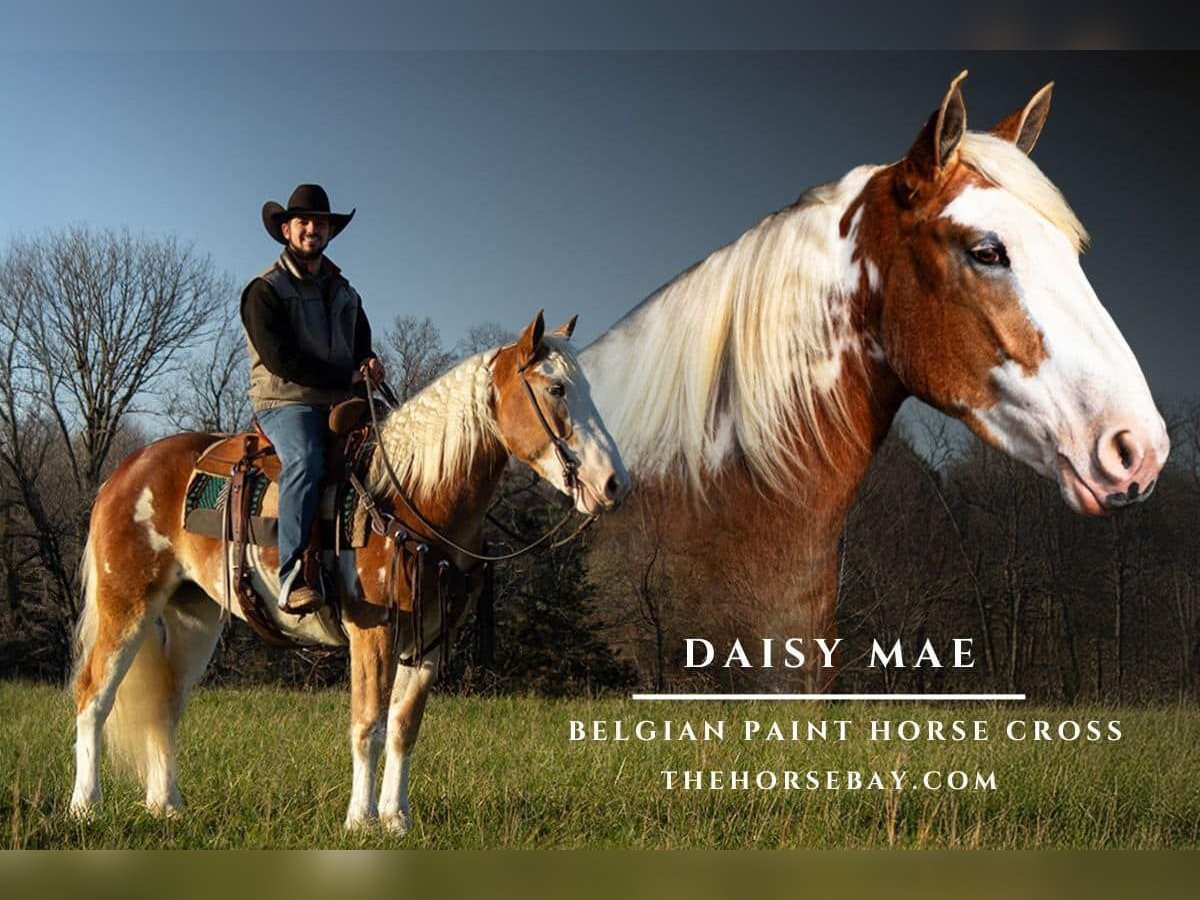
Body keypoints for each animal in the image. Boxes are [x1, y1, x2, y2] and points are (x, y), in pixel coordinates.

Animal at [69, 311, 629, 830]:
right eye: (556, 388)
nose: (614, 484)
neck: (410, 497)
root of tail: (126, 469)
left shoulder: (428, 639)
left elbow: (403, 728)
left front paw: (397, 818)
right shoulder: (373, 632)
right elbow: (369, 726)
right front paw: (361, 819)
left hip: (194, 616)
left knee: (164, 706)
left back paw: (167, 806)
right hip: (127, 605)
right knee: (94, 695)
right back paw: (86, 805)